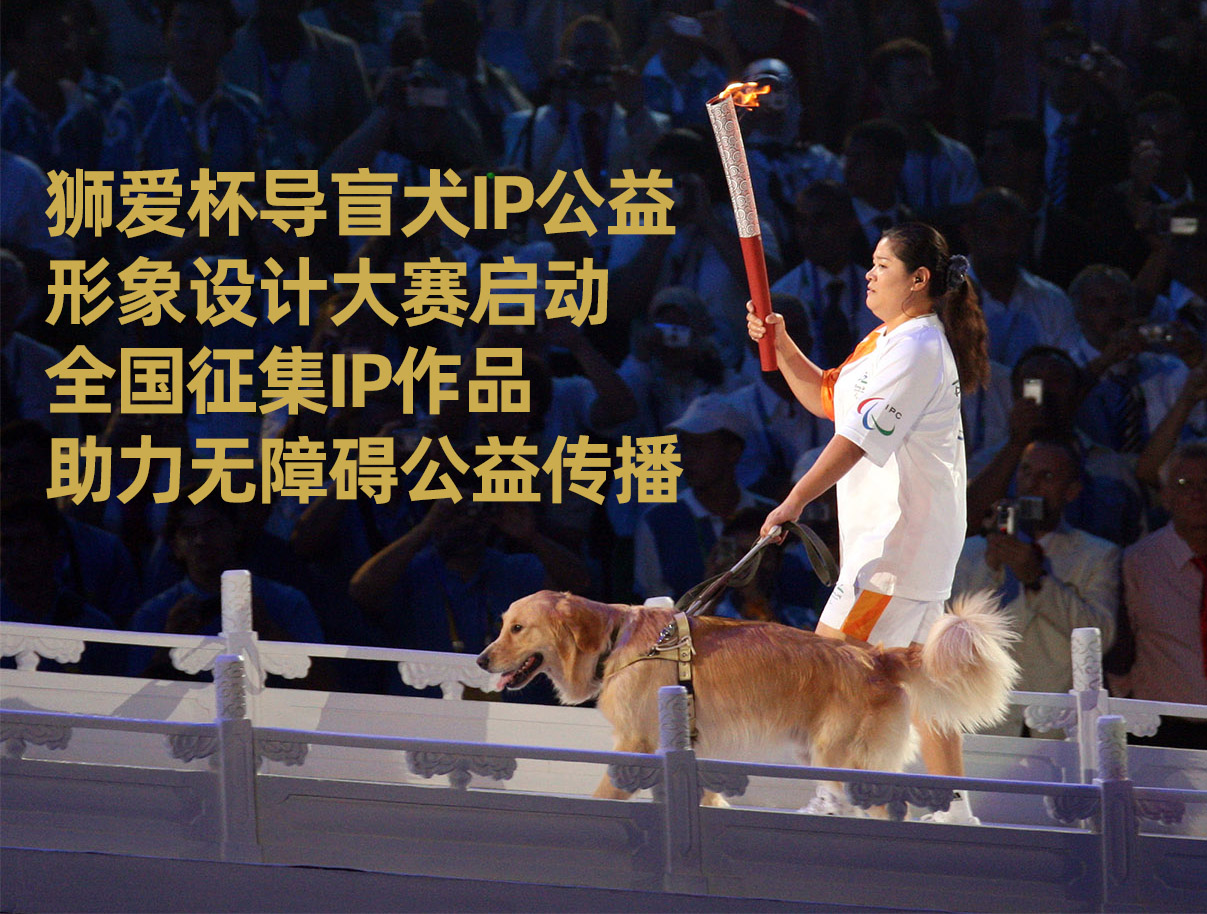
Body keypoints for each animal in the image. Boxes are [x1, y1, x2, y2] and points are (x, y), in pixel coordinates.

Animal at [477, 590, 1018, 806]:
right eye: (502, 624)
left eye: (518, 628)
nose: (480, 660)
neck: (618, 639)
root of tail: (877, 657)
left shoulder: (635, 746)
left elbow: (605, 796)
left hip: (840, 760)